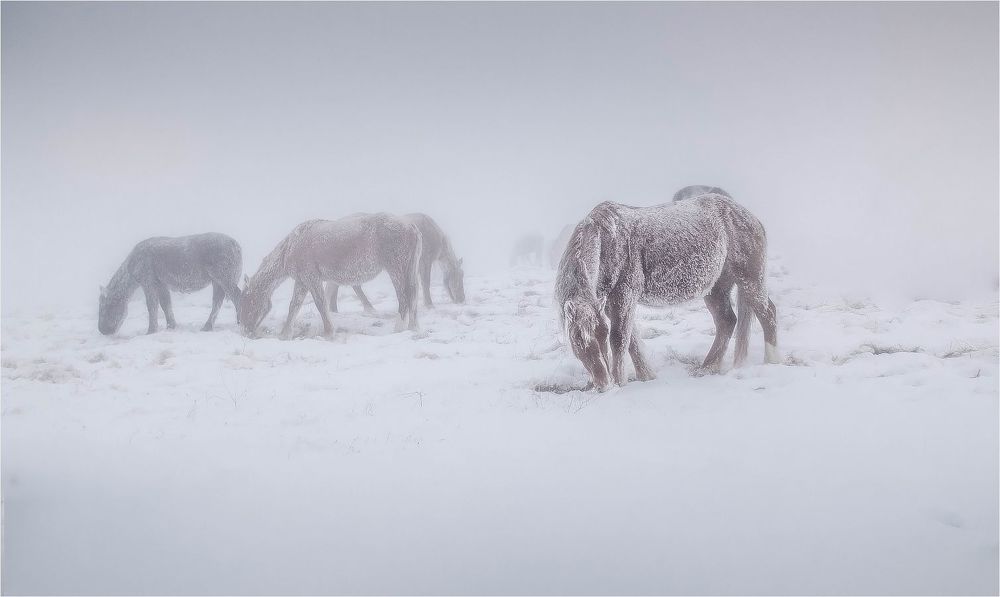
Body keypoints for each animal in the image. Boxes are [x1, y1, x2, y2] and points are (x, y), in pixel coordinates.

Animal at [98, 233, 242, 335]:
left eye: (106, 306)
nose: (102, 330)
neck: (131, 267)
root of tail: (236, 244)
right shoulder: (161, 283)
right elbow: (165, 304)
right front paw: (171, 326)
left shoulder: (148, 282)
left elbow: (152, 306)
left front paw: (151, 331)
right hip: (217, 281)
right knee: (218, 301)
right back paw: (207, 326)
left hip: (224, 278)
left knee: (237, 297)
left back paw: (240, 322)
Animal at [238, 213, 421, 339]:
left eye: (248, 302)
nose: (246, 332)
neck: (291, 246)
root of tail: (411, 227)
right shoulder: (302, 282)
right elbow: (294, 306)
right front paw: (284, 334)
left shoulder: (312, 278)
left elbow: (321, 304)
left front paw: (328, 333)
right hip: (410, 271)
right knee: (413, 296)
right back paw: (413, 328)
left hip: (396, 269)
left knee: (404, 298)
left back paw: (398, 329)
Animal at [326, 212, 464, 312]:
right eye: (460, 275)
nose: (462, 299)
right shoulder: (425, 260)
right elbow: (426, 282)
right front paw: (429, 304)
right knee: (353, 286)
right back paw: (368, 307)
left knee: (336, 285)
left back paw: (334, 309)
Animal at [555, 194, 779, 391]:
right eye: (577, 340)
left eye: (601, 336)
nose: (603, 385)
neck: (609, 238)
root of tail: (748, 216)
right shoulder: (609, 306)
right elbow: (632, 341)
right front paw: (646, 376)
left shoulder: (624, 298)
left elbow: (619, 340)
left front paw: (620, 384)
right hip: (716, 288)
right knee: (727, 322)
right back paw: (707, 368)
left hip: (750, 281)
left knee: (768, 314)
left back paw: (772, 361)